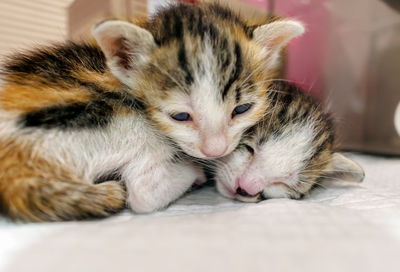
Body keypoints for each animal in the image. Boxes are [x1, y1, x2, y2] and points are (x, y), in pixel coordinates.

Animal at [0, 2, 304, 221]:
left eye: (242, 109)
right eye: (180, 116)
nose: (215, 151)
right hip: (117, 119)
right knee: (142, 193)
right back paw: (191, 173)